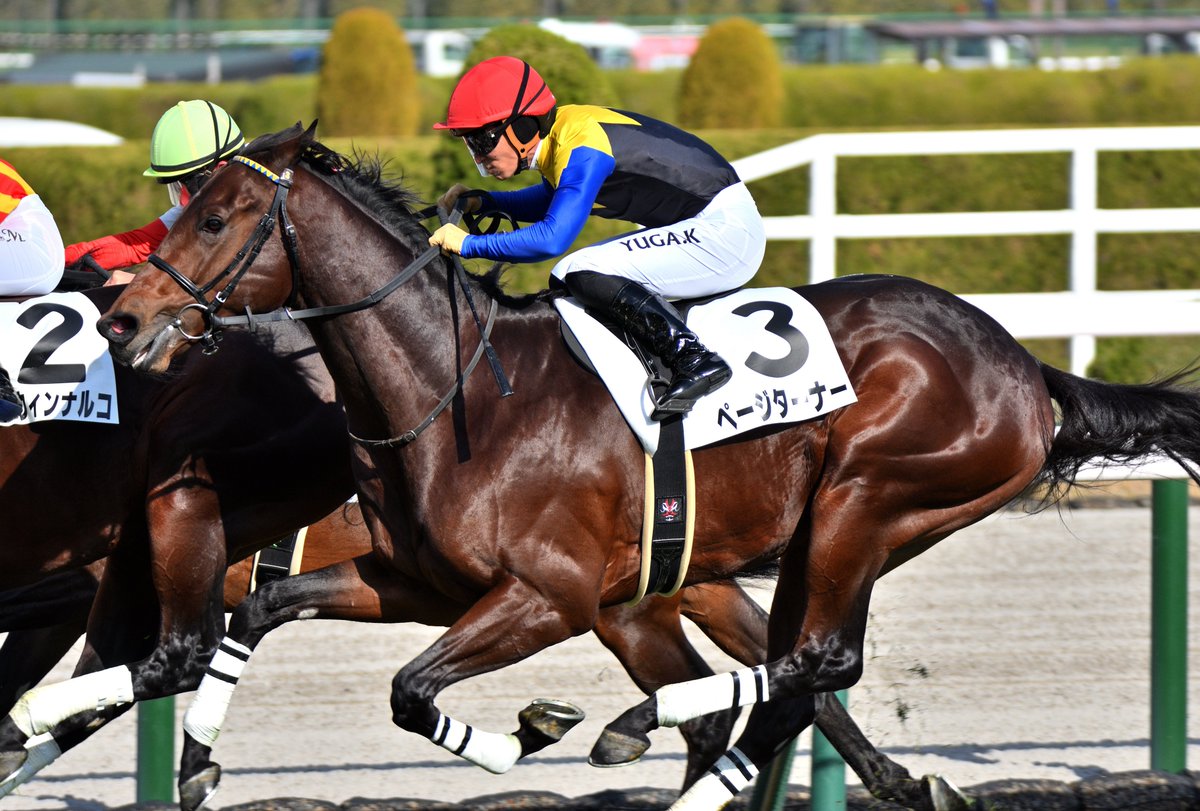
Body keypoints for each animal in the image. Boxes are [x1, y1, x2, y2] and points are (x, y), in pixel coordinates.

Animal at [88, 122, 1200, 811]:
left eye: (215, 218)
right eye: (180, 209)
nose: (123, 319)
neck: (457, 388)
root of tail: (1021, 361)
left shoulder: (552, 594)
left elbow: (409, 689)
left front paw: (534, 729)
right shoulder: (413, 580)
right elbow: (261, 612)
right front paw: (197, 762)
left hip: (870, 498)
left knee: (808, 663)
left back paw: (635, 726)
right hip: (800, 543)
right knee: (788, 674)